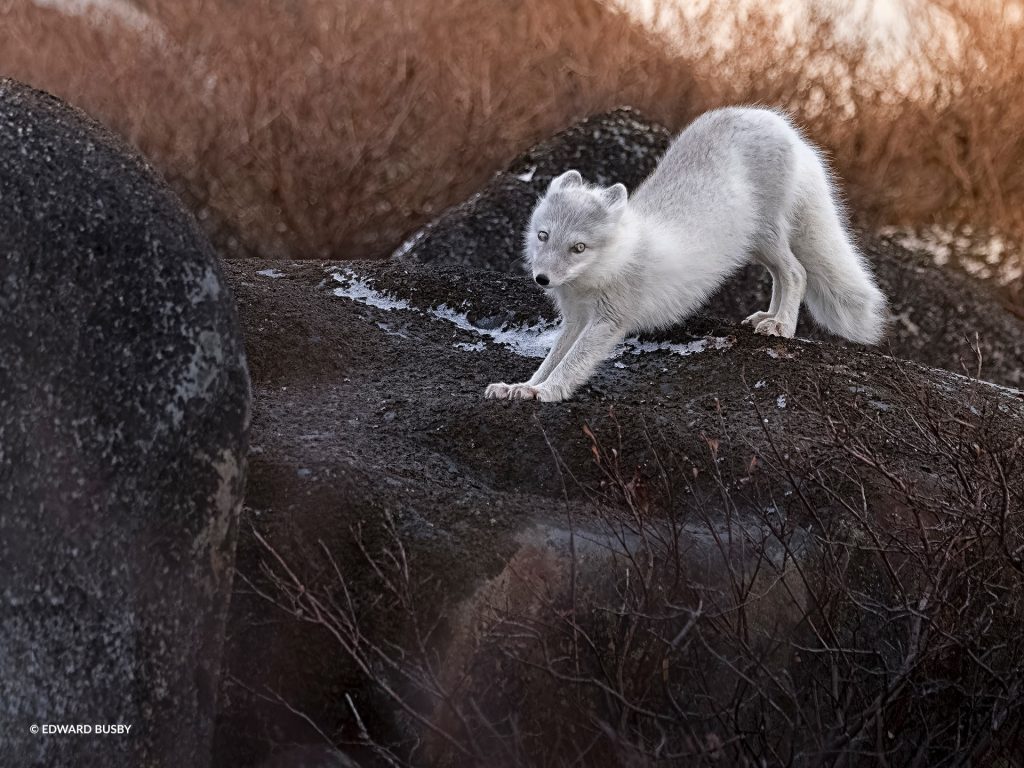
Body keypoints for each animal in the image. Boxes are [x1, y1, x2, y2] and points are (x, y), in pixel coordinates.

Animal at [485, 106, 888, 403]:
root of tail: (775, 120)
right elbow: (551, 358)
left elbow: (571, 363)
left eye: (578, 247)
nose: (542, 279)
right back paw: (767, 317)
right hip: (756, 244)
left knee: (797, 272)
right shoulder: (574, 319)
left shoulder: (608, 320)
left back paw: (782, 326)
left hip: (768, 235)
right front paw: (522, 386)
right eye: (543, 235)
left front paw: (545, 392)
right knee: (782, 274)